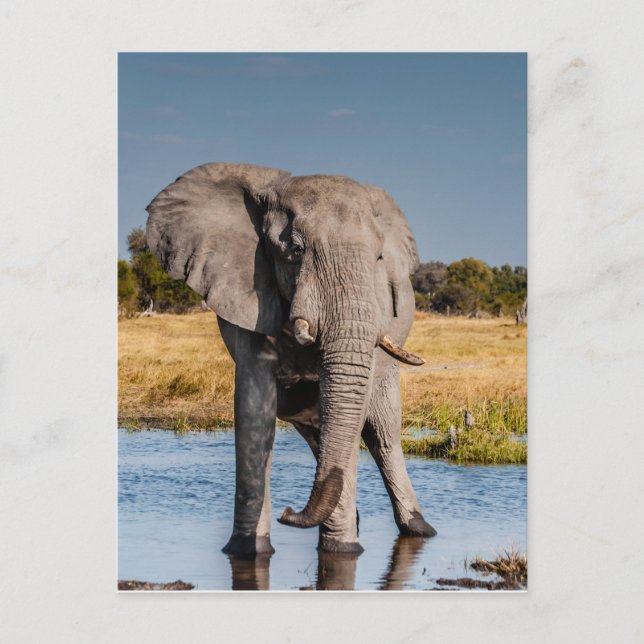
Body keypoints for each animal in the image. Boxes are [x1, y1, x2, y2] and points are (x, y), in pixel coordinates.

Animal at [146, 162, 436, 558]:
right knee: (320, 433)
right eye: (295, 251)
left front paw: (343, 550)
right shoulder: (249, 296)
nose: (288, 511)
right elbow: (255, 412)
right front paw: (247, 551)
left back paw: (418, 529)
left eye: (378, 259)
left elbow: (353, 420)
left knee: (382, 434)